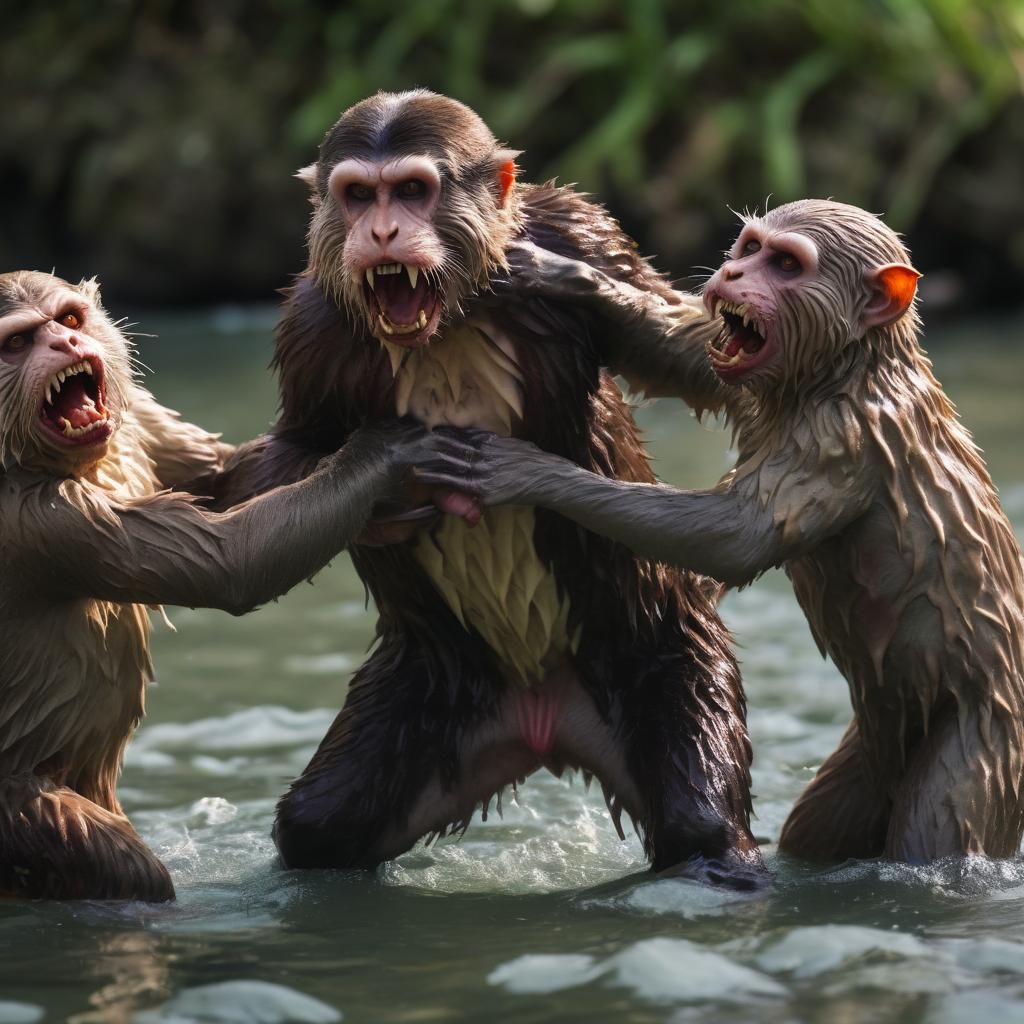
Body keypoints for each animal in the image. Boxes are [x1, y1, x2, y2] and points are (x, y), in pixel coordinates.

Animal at [0, 270, 455, 901]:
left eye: (68, 319)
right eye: (18, 343)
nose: (67, 345)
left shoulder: (136, 420)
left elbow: (221, 482)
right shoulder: (41, 521)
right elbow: (228, 564)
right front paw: (384, 455)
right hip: (16, 814)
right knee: (111, 859)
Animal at [208, 89, 766, 888]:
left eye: (412, 189)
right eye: (358, 194)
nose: (380, 230)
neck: (450, 322)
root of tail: (542, 720)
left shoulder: (584, 227)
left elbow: (703, 357)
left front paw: (571, 283)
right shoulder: (310, 325)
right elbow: (290, 451)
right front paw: (385, 471)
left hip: (659, 650)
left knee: (701, 819)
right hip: (439, 693)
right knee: (320, 827)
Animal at [412, 198, 1024, 865]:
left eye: (787, 264)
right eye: (751, 247)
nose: (732, 274)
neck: (839, 370)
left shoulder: (841, 435)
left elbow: (739, 536)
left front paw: (528, 472)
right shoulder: (757, 389)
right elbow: (684, 355)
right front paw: (558, 272)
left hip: (982, 745)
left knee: (938, 823)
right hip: (868, 761)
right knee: (820, 824)